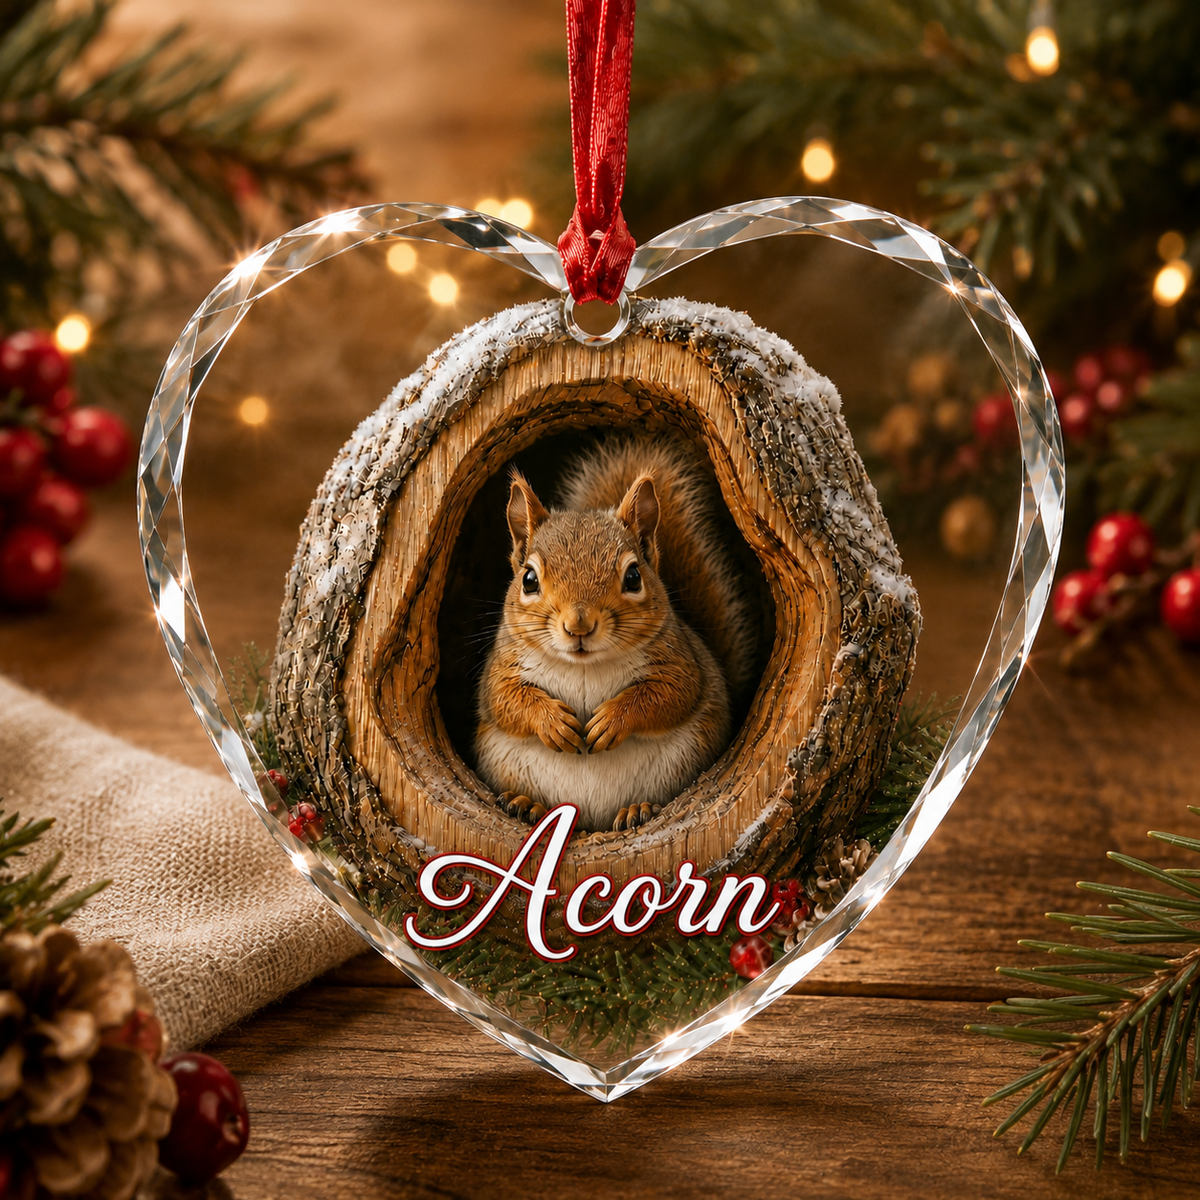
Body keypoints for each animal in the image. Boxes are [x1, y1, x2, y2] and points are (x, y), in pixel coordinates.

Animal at [473, 437, 754, 833]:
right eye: (528, 580)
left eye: (633, 577)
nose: (579, 626)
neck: (584, 666)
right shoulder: (502, 666)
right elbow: (505, 700)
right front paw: (552, 722)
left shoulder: (680, 661)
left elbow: (670, 695)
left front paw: (611, 720)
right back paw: (527, 805)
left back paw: (638, 809)